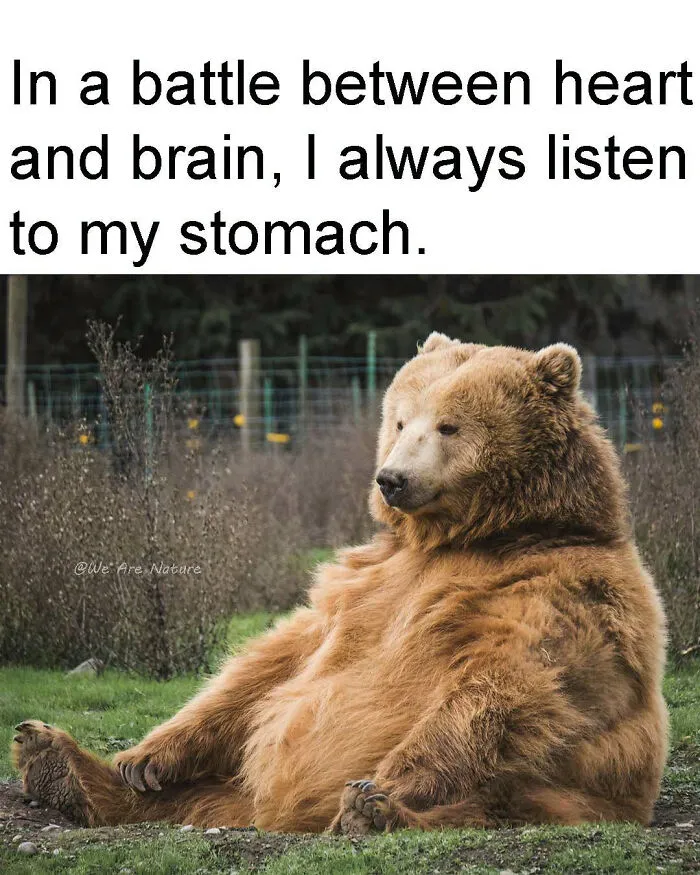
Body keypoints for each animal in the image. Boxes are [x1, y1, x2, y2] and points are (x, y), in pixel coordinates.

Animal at [12, 335, 668, 835]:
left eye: (449, 426)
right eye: (400, 419)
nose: (392, 478)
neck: (470, 536)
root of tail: (270, 815)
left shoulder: (559, 589)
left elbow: (506, 684)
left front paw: (383, 786)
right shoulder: (365, 582)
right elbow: (274, 662)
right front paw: (145, 757)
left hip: (562, 790)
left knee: (492, 799)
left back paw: (371, 811)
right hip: (230, 787)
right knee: (190, 796)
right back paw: (58, 762)